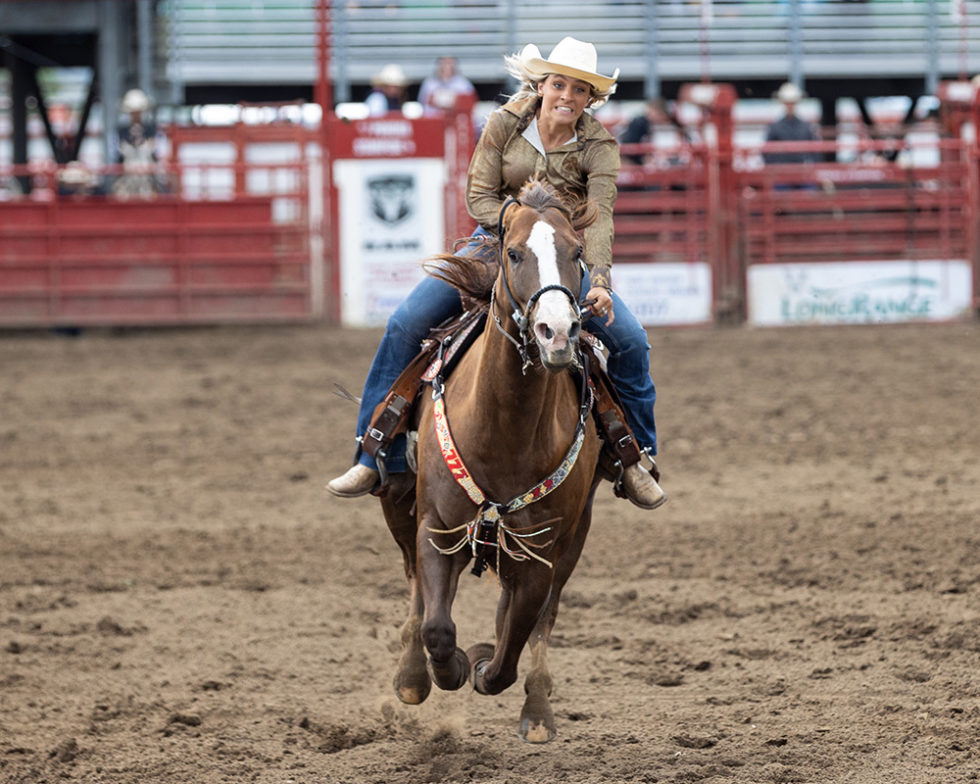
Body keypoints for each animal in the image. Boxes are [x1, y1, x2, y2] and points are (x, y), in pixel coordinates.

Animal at [378, 178, 600, 740]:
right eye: (514, 252)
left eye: (577, 253)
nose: (557, 333)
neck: (506, 429)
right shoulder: (436, 526)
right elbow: (435, 624)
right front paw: (445, 667)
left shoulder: (541, 552)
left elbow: (513, 643)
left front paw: (480, 662)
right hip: (397, 500)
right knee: (416, 592)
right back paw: (411, 675)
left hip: (572, 537)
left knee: (538, 621)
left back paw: (537, 711)